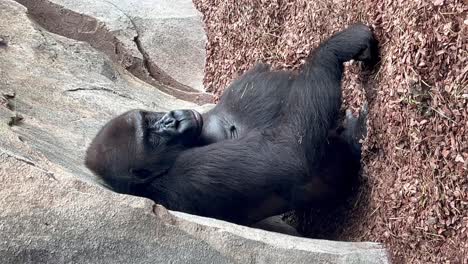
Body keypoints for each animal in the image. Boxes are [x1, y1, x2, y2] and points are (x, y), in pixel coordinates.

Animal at [86, 23, 378, 227]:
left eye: (150, 119)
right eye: (151, 136)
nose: (173, 117)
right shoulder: (188, 175)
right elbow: (288, 153)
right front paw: (337, 47)